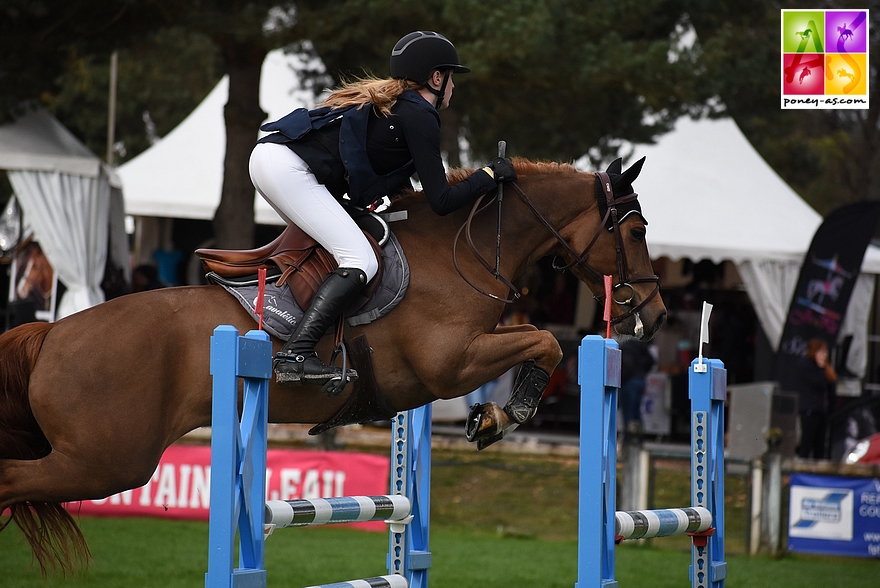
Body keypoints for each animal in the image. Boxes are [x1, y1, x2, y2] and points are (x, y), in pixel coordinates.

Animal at [0, 156, 664, 576]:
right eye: (635, 229)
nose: (654, 316)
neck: (461, 252)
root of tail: (51, 333)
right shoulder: (449, 365)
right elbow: (546, 342)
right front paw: (505, 415)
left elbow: (537, 340)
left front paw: (491, 417)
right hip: (106, 460)